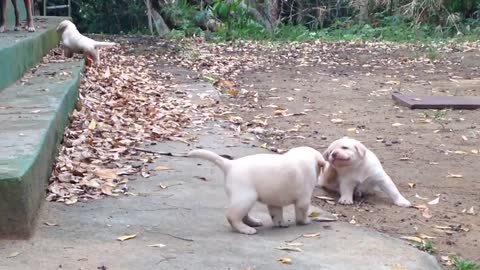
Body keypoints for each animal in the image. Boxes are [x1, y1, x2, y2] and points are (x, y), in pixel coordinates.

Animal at [188, 147, 326, 233]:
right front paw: (305, 221)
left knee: (243, 215)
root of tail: (230, 165)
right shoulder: (303, 200)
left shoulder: (274, 201)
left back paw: (252, 222)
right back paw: (245, 229)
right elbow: (302, 212)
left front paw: (280, 223)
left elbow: (276, 214)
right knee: (232, 216)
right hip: (246, 197)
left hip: (244, 198)